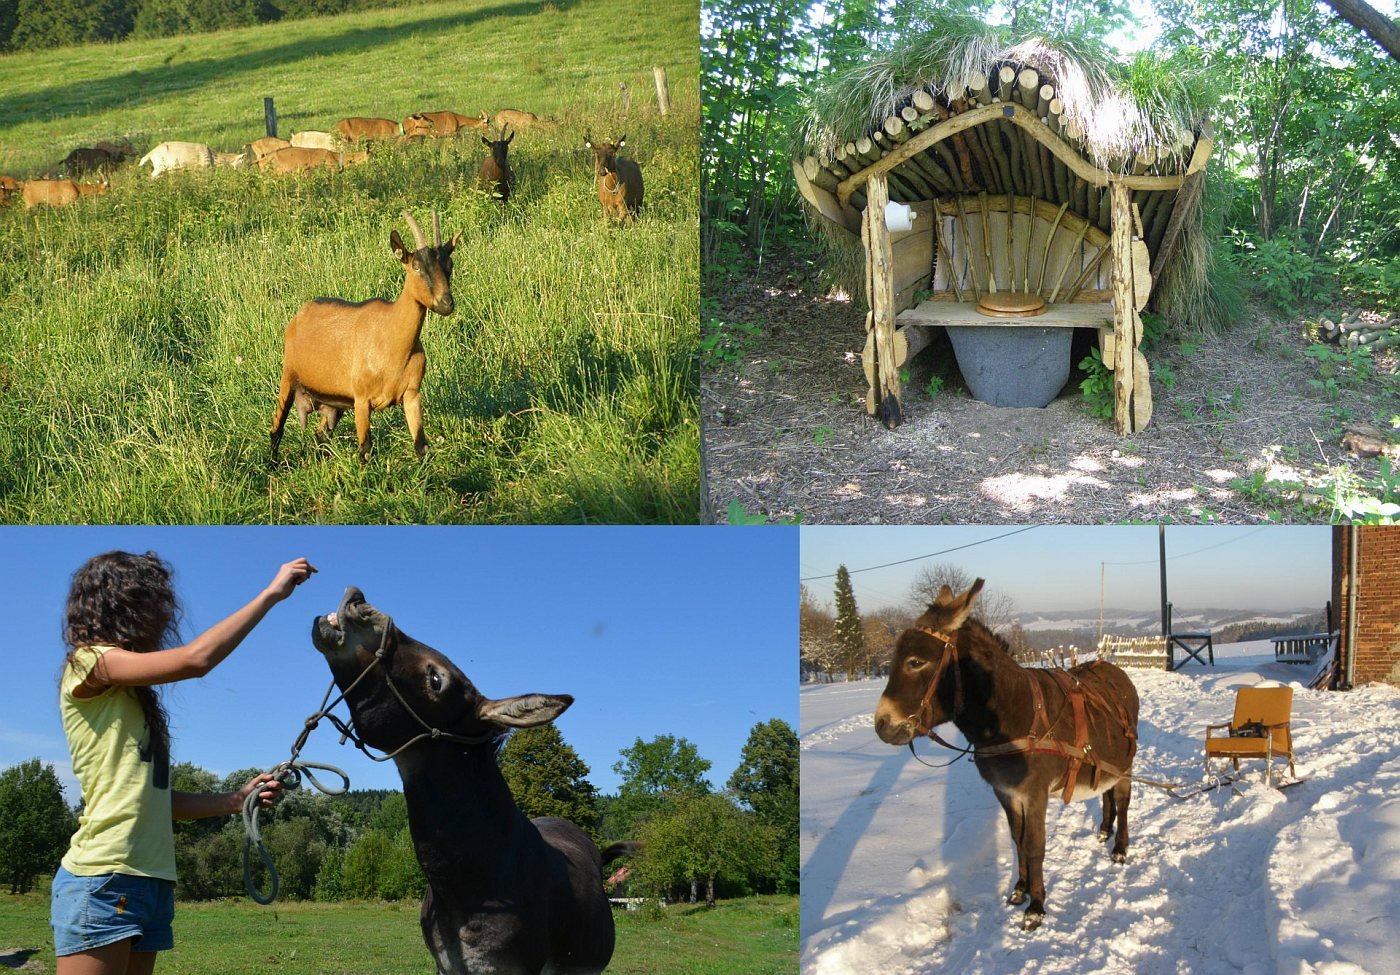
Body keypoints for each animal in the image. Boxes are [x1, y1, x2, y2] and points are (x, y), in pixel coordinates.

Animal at [263, 210, 459, 459]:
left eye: (449, 263)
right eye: (416, 267)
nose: (446, 303)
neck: (391, 340)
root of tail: (300, 314)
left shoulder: (412, 394)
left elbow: (421, 447)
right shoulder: (361, 400)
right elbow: (366, 451)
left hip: (335, 402)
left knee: (321, 433)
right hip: (289, 376)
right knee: (276, 429)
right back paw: (272, 463)